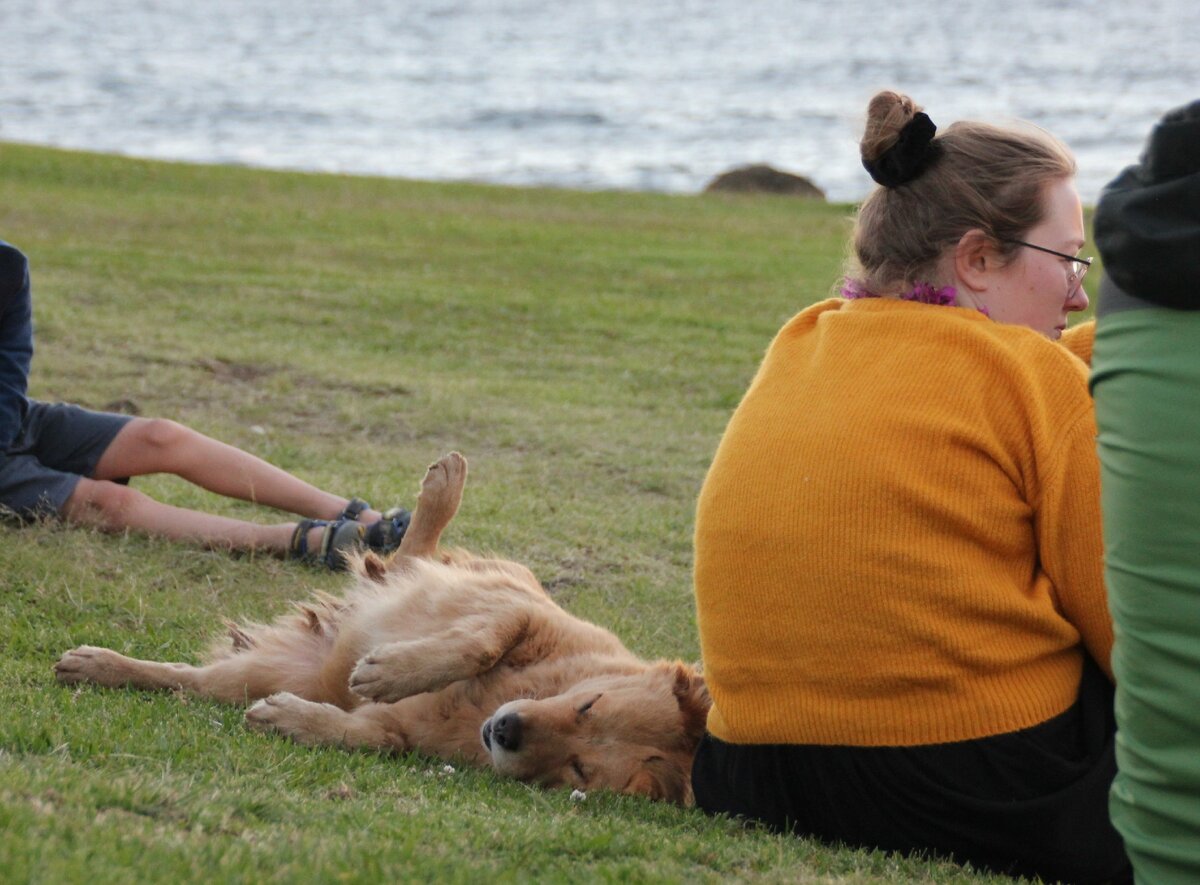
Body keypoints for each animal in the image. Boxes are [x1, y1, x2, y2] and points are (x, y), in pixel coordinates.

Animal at [54, 450, 710, 801]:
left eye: (580, 770)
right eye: (587, 706)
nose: (505, 732)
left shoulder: (397, 731)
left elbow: (370, 735)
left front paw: (295, 719)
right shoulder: (522, 609)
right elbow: (480, 641)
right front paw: (392, 671)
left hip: (258, 674)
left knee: (185, 681)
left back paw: (103, 668)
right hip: (492, 572)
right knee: (414, 554)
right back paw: (443, 486)